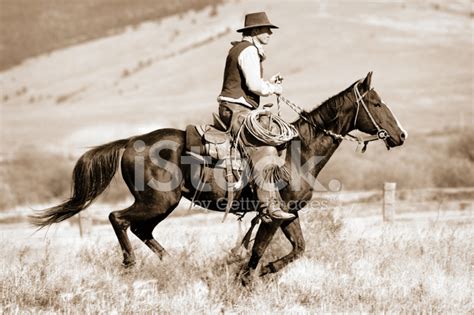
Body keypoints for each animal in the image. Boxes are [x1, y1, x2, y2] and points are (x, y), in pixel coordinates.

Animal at [30, 71, 408, 284]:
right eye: (376, 103)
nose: (401, 135)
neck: (297, 154)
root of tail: (130, 142)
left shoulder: (288, 213)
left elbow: (298, 248)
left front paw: (263, 272)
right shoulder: (271, 215)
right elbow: (259, 248)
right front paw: (246, 278)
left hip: (160, 204)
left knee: (141, 229)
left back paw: (174, 265)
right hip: (158, 200)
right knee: (119, 218)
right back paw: (131, 263)